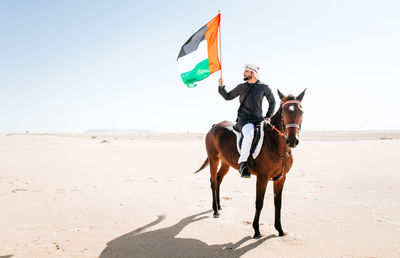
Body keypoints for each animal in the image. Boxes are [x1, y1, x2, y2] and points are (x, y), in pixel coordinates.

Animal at [195, 88, 306, 238]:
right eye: (284, 112)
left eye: (301, 111)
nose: (292, 140)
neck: (276, 144)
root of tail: (214, 126)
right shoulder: (262, 177)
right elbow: (259, 202)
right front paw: (256, 230)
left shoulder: (281, 178)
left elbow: (278, 203)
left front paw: (280, 230)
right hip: (214, 159)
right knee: (213, 181)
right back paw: (215, 211)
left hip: (225, 163)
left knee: (218, 179)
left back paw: (219, 206)